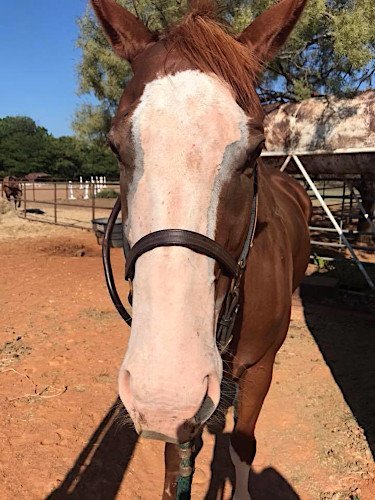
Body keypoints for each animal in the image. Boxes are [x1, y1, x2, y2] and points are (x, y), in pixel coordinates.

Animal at [93, 0, 312, 498]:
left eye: (255, 151)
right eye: (114, 146)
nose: (164, 392)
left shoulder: (259, 370)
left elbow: (243, 445)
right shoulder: (184, 422)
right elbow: (177, 464)